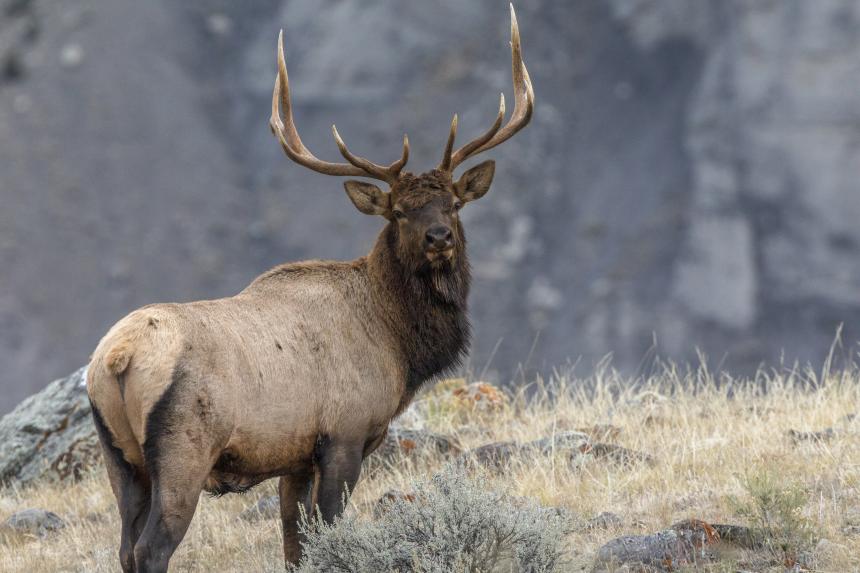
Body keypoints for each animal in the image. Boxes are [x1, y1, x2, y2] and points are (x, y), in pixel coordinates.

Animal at [85, 5, 532, 572]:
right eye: (399, 211)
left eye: (453, 204)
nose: (439, 238)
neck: (398, 345)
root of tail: (116, 358)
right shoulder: (343, 434)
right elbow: (328, 532)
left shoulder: (294, 458)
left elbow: (294, 543)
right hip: (183, 447)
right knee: (150, 548)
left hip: (118, 456)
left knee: (124, 545)